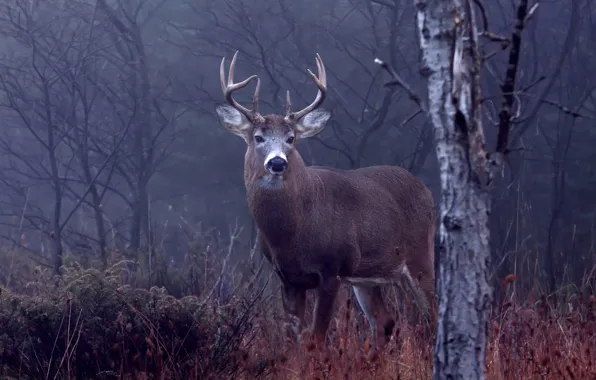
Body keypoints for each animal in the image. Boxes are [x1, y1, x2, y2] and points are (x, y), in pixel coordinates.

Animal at [214, 50, 438, 354]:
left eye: (291, 138)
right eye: (258, 137)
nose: (277, 163)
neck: (293, 232)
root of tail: (426, 190)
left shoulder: (332, 269)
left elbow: (316, 339)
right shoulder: (287, 278)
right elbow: (294, 342)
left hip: (420, 254)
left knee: (433, 314)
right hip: (368, 276)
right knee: (385, 321)